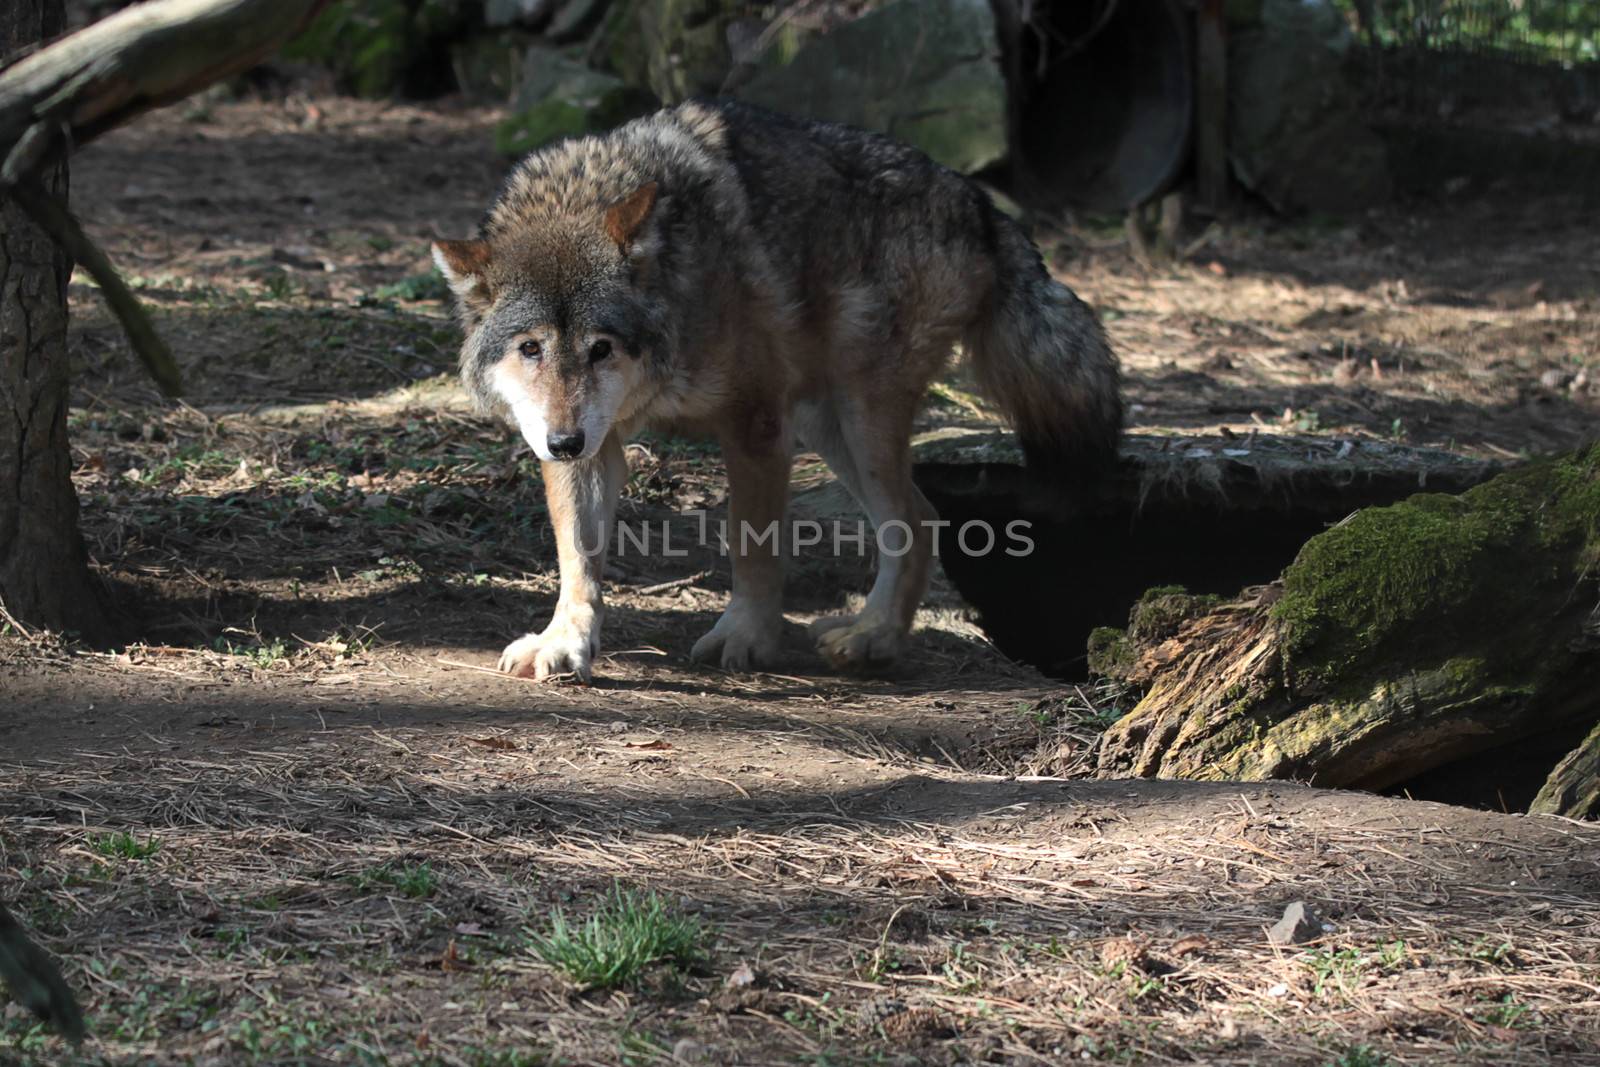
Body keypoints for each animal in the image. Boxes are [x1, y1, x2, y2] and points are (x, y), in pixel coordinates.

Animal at [432, 102, 1120, 684]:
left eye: (601, 348)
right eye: (531, 349)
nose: (564, 440)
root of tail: (975, 200)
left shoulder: (754, 421)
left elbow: (752, 545)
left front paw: (747, 637)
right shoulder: (593, 445)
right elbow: (577, 556)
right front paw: (564, 642)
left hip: (859, 415)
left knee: (914, 518)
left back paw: (873, 639)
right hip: (826, 425)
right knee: (921, 516)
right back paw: (874, 634)